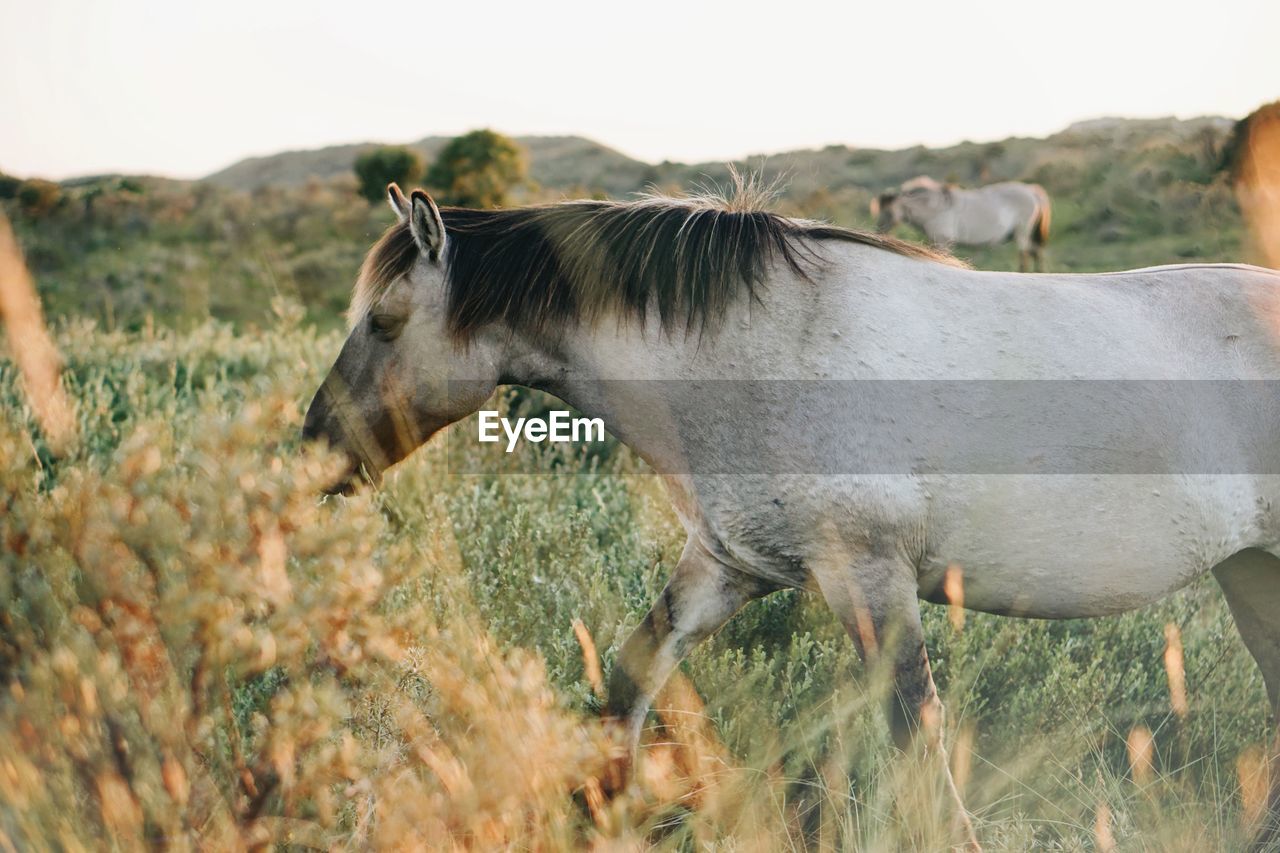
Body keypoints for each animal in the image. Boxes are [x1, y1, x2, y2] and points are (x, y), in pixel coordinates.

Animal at [875, 178, 1054, 270]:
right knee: (1036, 253)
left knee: (1025, 255)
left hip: (1023, 231)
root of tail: (1031, 189)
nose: (879, 232)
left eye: (888, 212)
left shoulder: (943, 241)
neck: (936, 208)